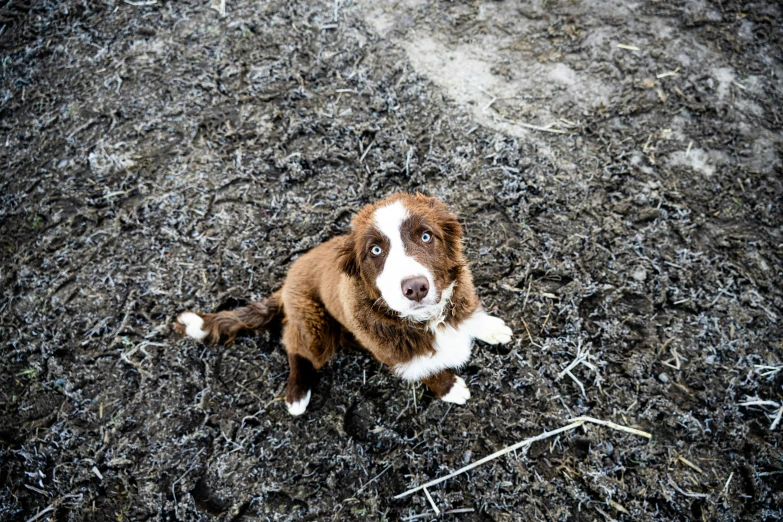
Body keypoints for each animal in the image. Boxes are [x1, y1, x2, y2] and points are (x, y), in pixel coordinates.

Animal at [174, 192, 512, 414]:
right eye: (375, 250)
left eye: (426, 236)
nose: (415, 288)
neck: (428, 319)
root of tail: (285, 285)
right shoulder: (396, 354)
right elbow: (428, 370)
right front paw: (450, 388)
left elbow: (469, 314)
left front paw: (490, 328)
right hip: (314, 326)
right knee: (293, 343)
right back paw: (297, 393)